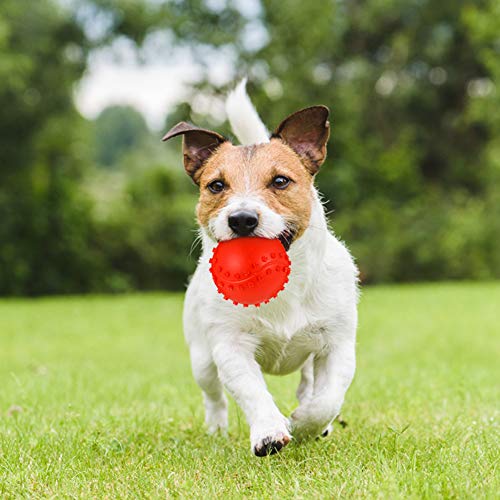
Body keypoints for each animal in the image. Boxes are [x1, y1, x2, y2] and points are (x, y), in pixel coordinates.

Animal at [162, 81, 358, 458]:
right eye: (216, 185)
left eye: (280, 181)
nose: (241, 218)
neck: (278, 286)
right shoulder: (230, 346)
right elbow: (252, 391)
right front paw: (269, 432)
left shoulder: (337, 344)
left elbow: (327, 399)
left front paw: (306, 423)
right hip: (201, 358)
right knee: (213, 396)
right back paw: (217, 429)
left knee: (309, 383)